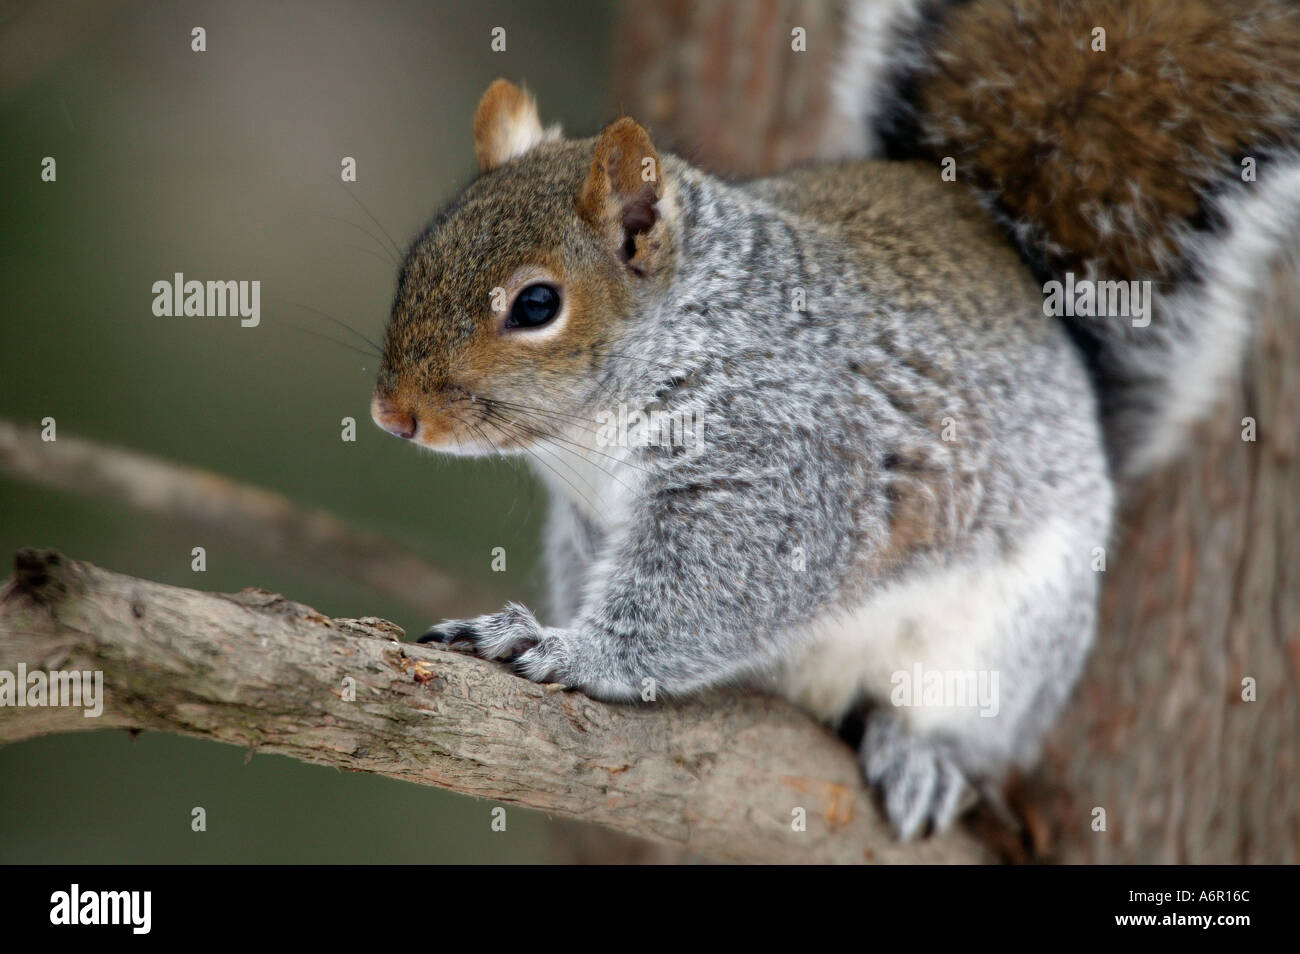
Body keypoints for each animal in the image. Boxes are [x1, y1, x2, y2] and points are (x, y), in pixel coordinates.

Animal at [370, 0, 1300, 839]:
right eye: (415, 256)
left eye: (536, 305)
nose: (392, 415)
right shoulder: (585, 519)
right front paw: (527, 624)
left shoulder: (784, 463)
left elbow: (712, 592)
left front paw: (568, 649)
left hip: (1008, 646)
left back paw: (922, 753)